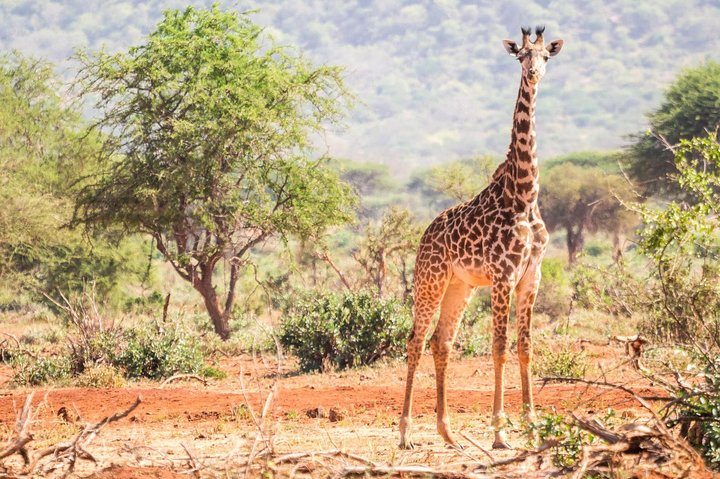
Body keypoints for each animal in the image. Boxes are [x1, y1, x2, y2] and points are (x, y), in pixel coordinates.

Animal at [400, 26, 564, 452]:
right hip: (430, 281)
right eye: (521, 55)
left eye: (546, 56)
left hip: (461, 286)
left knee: (441, 342)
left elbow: (525, 348)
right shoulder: (504, 276)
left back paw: (447, 432)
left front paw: (533, 427)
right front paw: (500, 432)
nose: (534, 74)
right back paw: (405, 434)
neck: (524, 195)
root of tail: (425, 235)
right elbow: (500, 348)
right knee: (415, 341)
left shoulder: (531, 276)